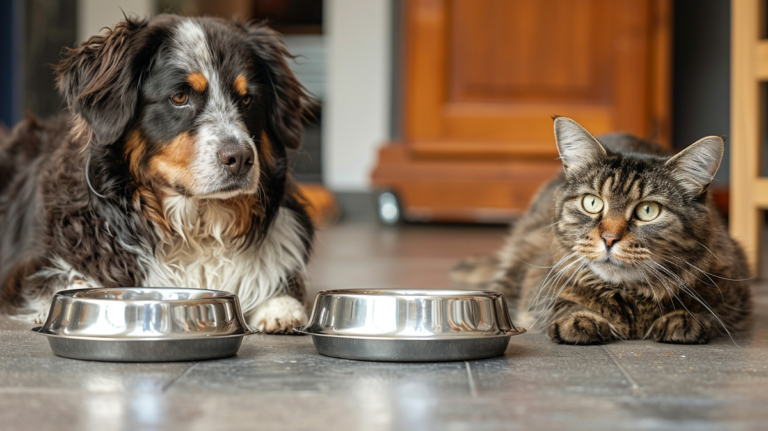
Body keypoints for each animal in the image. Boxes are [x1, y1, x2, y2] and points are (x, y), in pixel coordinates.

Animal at [0, 14, 316, 334]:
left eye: (248, 99)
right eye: (179, 96)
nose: (240, 159)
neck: (196, 226)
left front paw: (281, 305)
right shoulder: (30, 267)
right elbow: (66, 280)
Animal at [452, 117, 752, 344]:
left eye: (648, 210)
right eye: (592, 202)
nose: (609, 238)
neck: (630, 300)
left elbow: (704, 308)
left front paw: (685, 317)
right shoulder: (539, 280)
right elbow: (562, 300)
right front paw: (580, 318)